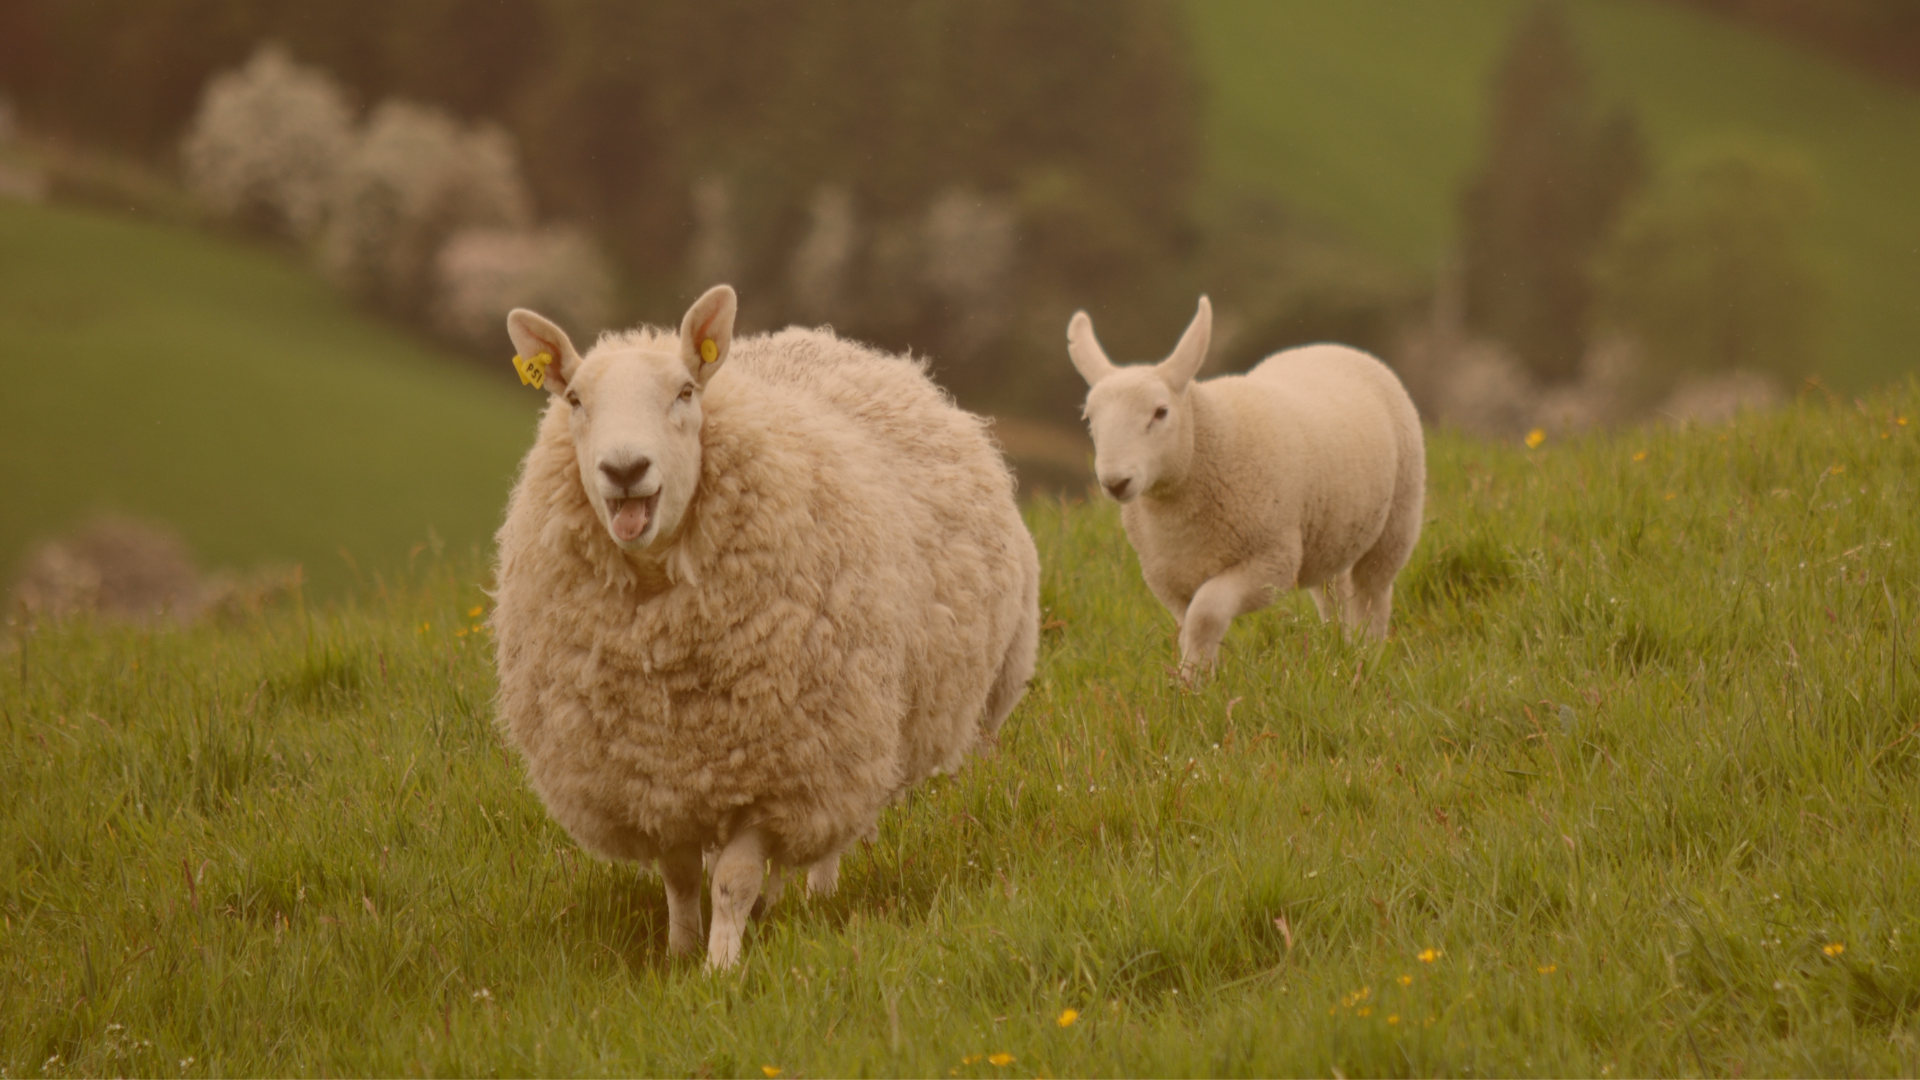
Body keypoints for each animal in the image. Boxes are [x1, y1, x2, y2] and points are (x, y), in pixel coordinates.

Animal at [491, 285, 1040, 969]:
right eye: (574, 400)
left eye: (684, 392)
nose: (624, 470)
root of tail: (828, 341)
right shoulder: (652, 775)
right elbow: (681, 876)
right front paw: (678, 954)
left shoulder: (777, 766)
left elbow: (733, 878)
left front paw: (720, 967)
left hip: (856, 732)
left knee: (833, 830)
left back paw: (814, 897)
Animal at [1066, 296, 1424, 676]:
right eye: (1089, 419)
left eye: (1160, 412)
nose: (1115, 482)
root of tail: (1329, 346)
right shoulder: (1168, 579)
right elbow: (1189, 627)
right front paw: (1197, 676)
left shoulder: (1271, 561)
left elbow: (1206, 614)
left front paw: (1193, 679)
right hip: (1331, 531)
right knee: (1335, 591)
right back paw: (1341, 651)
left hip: (1397, 521)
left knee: (1372, 594)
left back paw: (1367, 655)